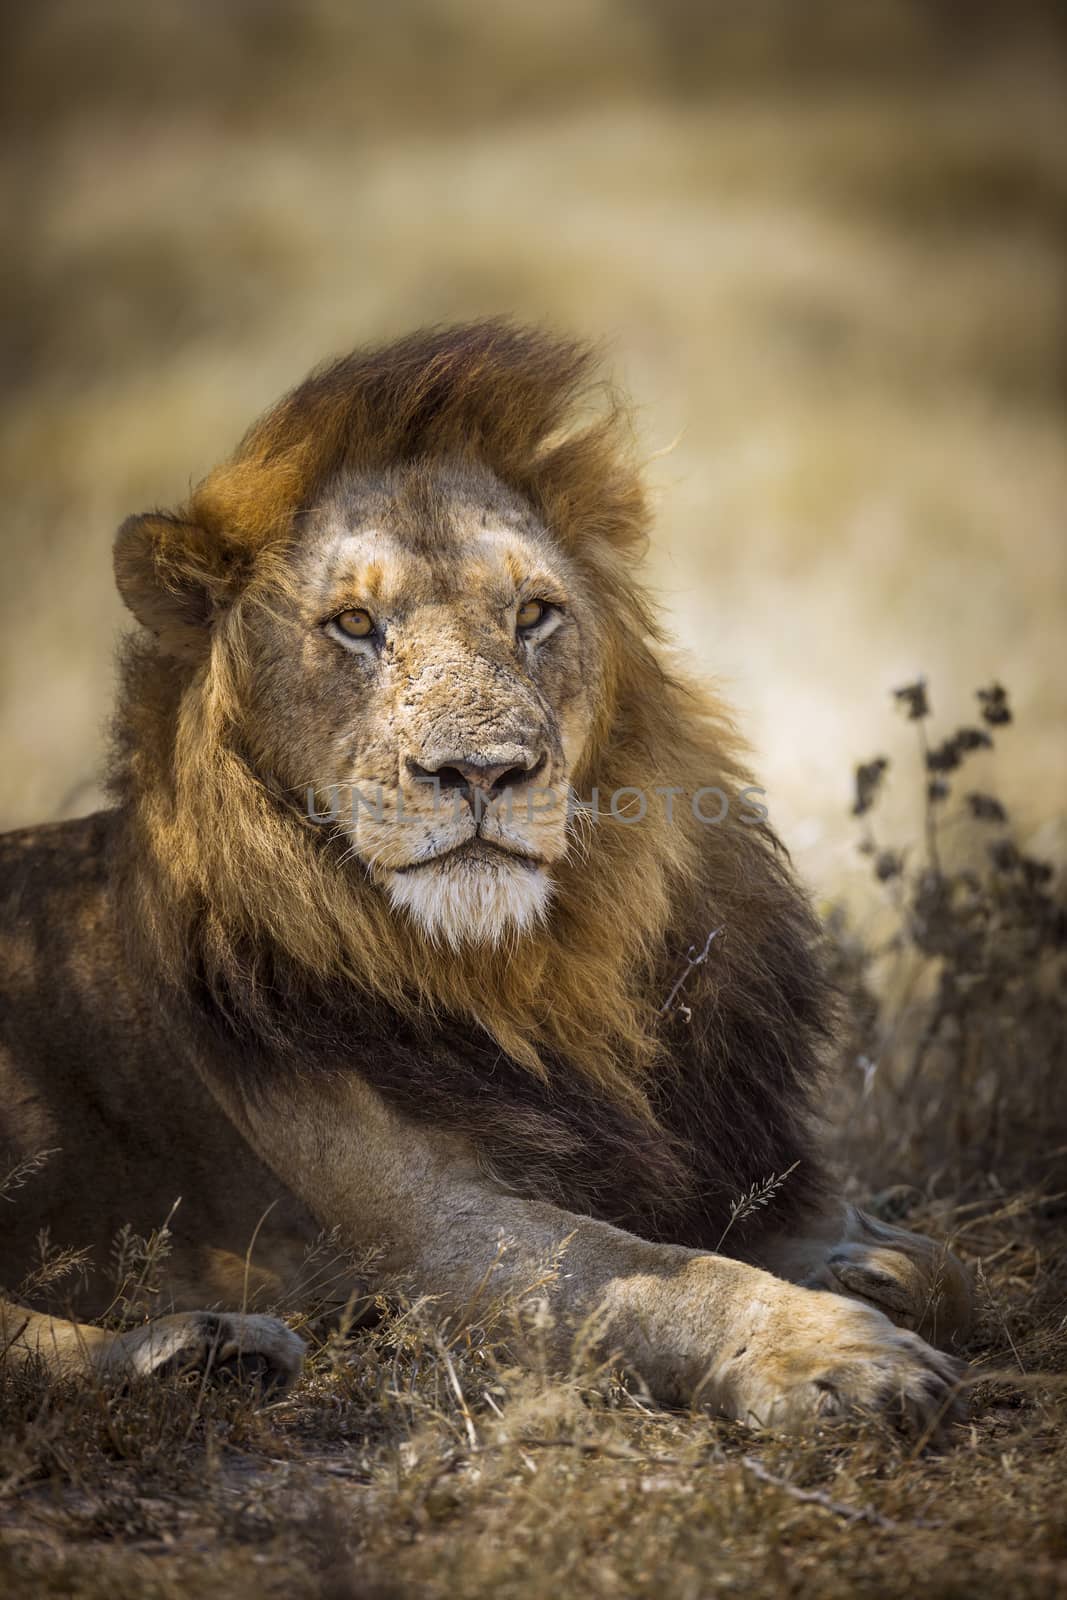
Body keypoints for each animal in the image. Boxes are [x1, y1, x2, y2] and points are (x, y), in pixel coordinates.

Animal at [0, 318, 966, 1433]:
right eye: (353, 625)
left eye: (534, 614)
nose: (483, 770)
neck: (531, 975)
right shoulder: (420, 1231)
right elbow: (645, 1273)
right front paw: (832, 1351)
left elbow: (914, 1252)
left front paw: (871, 1265)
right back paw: (203, 1349)